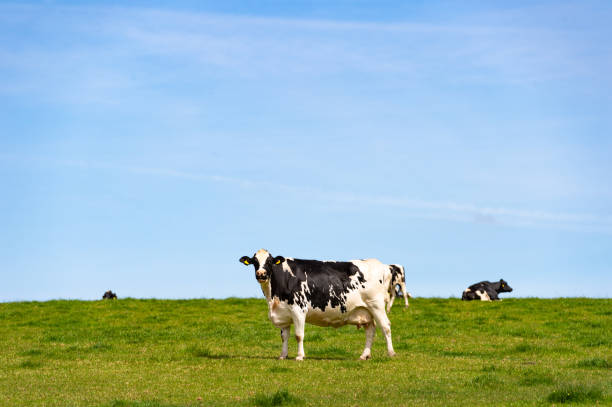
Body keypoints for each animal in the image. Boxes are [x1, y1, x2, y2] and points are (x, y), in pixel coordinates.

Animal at [239, 249, 396, 360]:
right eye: (254, 262)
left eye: (270, 261)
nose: (261, 274)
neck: (273, 297)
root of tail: (381, 265)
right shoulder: (283, 313)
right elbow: (284, 337)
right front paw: (283, 356)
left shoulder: (299, 310)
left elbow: (299, 335)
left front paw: (300, 356)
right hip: (365, 310)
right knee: (370, 331)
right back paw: (364, 355)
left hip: (376, 305)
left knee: (386, 327)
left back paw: (391, 353)